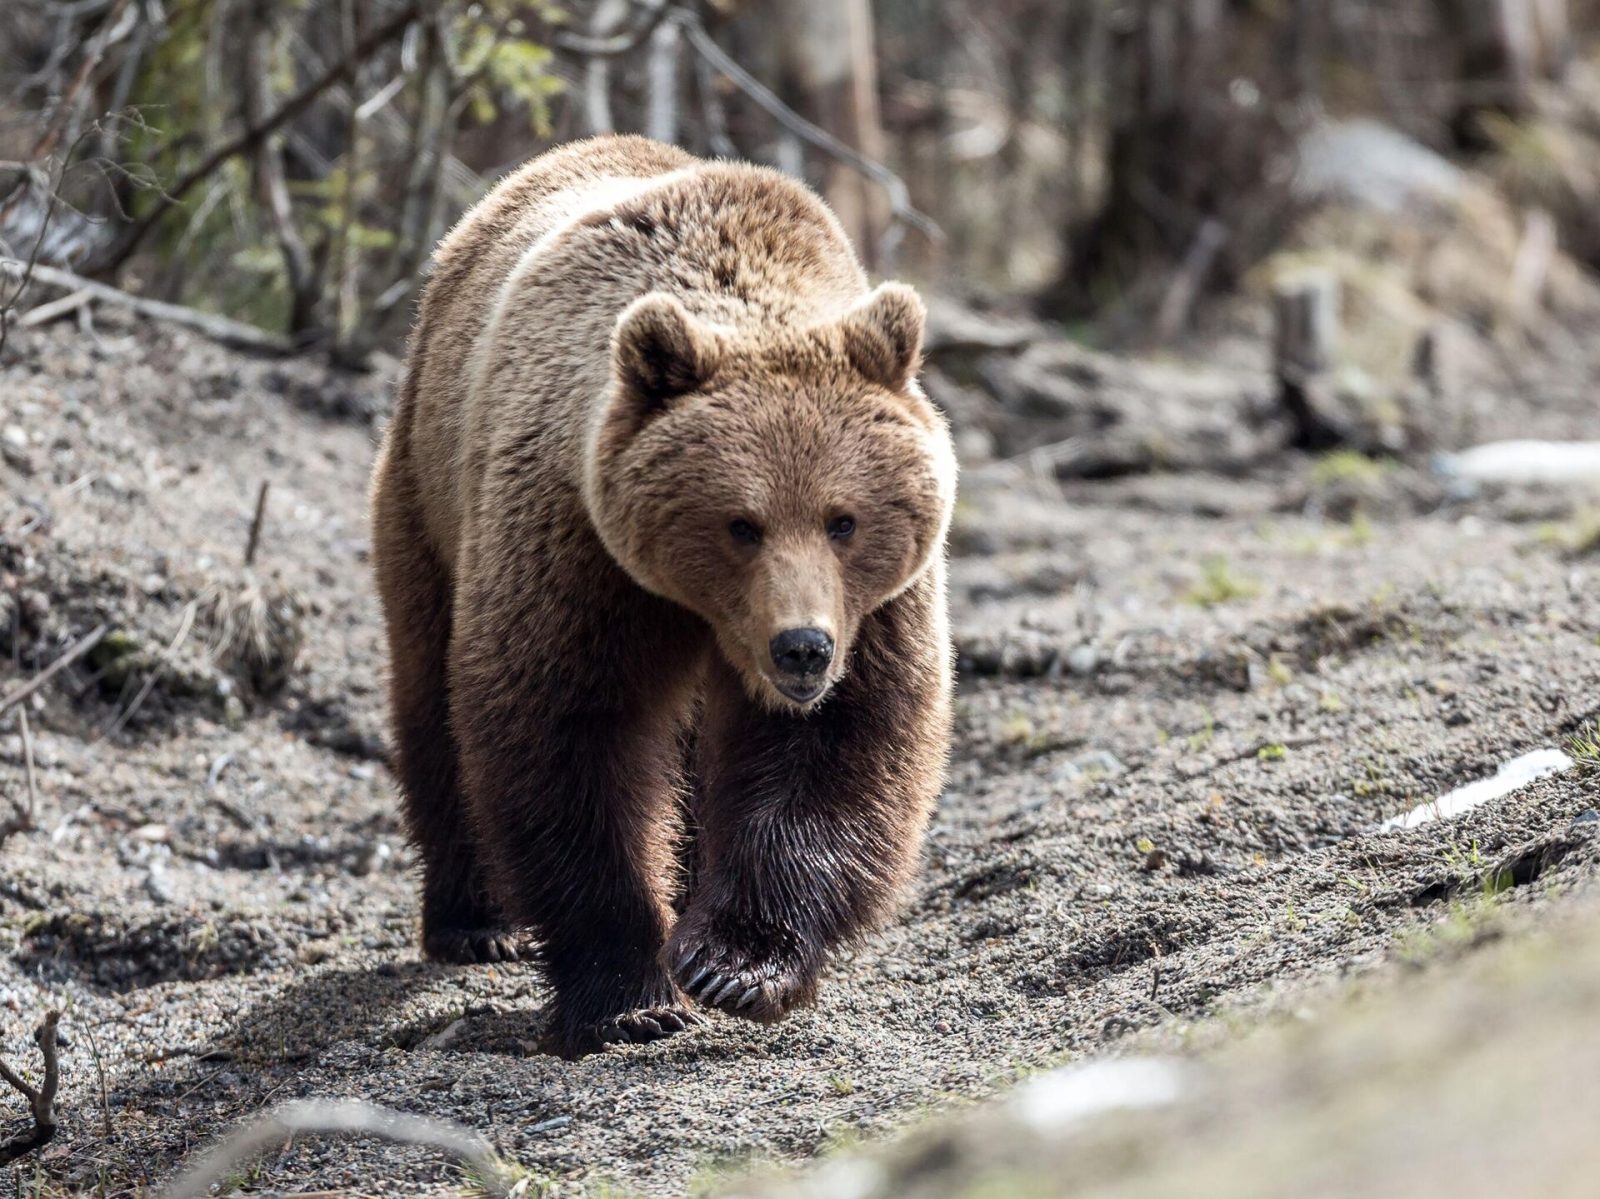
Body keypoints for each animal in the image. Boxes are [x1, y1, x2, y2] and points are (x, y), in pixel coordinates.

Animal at [368, 131, 953, 1050]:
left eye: (844, 519)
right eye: (741, 522)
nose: (802, 647)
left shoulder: (880, 608)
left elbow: (841, 742)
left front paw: (734, 962)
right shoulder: (577, 550)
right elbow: (569, 733)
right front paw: (630, 994)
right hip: (427, 497)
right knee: (431, 696)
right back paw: (476, 919)